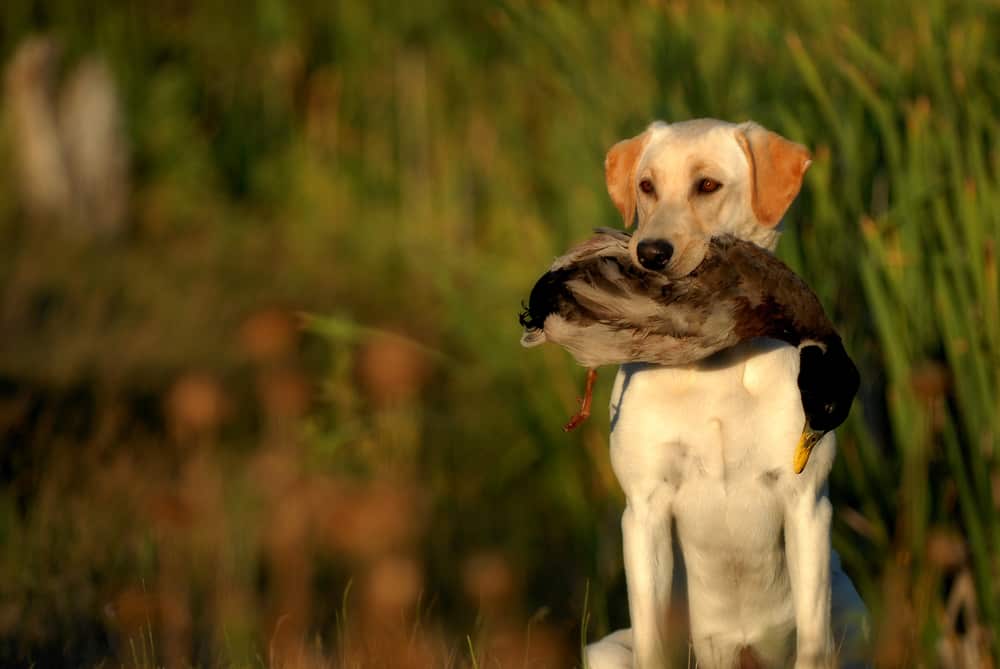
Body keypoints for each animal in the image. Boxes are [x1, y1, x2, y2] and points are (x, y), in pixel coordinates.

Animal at [584, 121, 868, 668]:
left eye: (708, 185)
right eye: (646, 186)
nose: (650, 253)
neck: (713, 363)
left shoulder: (806, 505)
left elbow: (812, 639)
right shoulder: (645, 510)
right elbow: (653, 639)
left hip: (852, 616)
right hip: (605, 650)